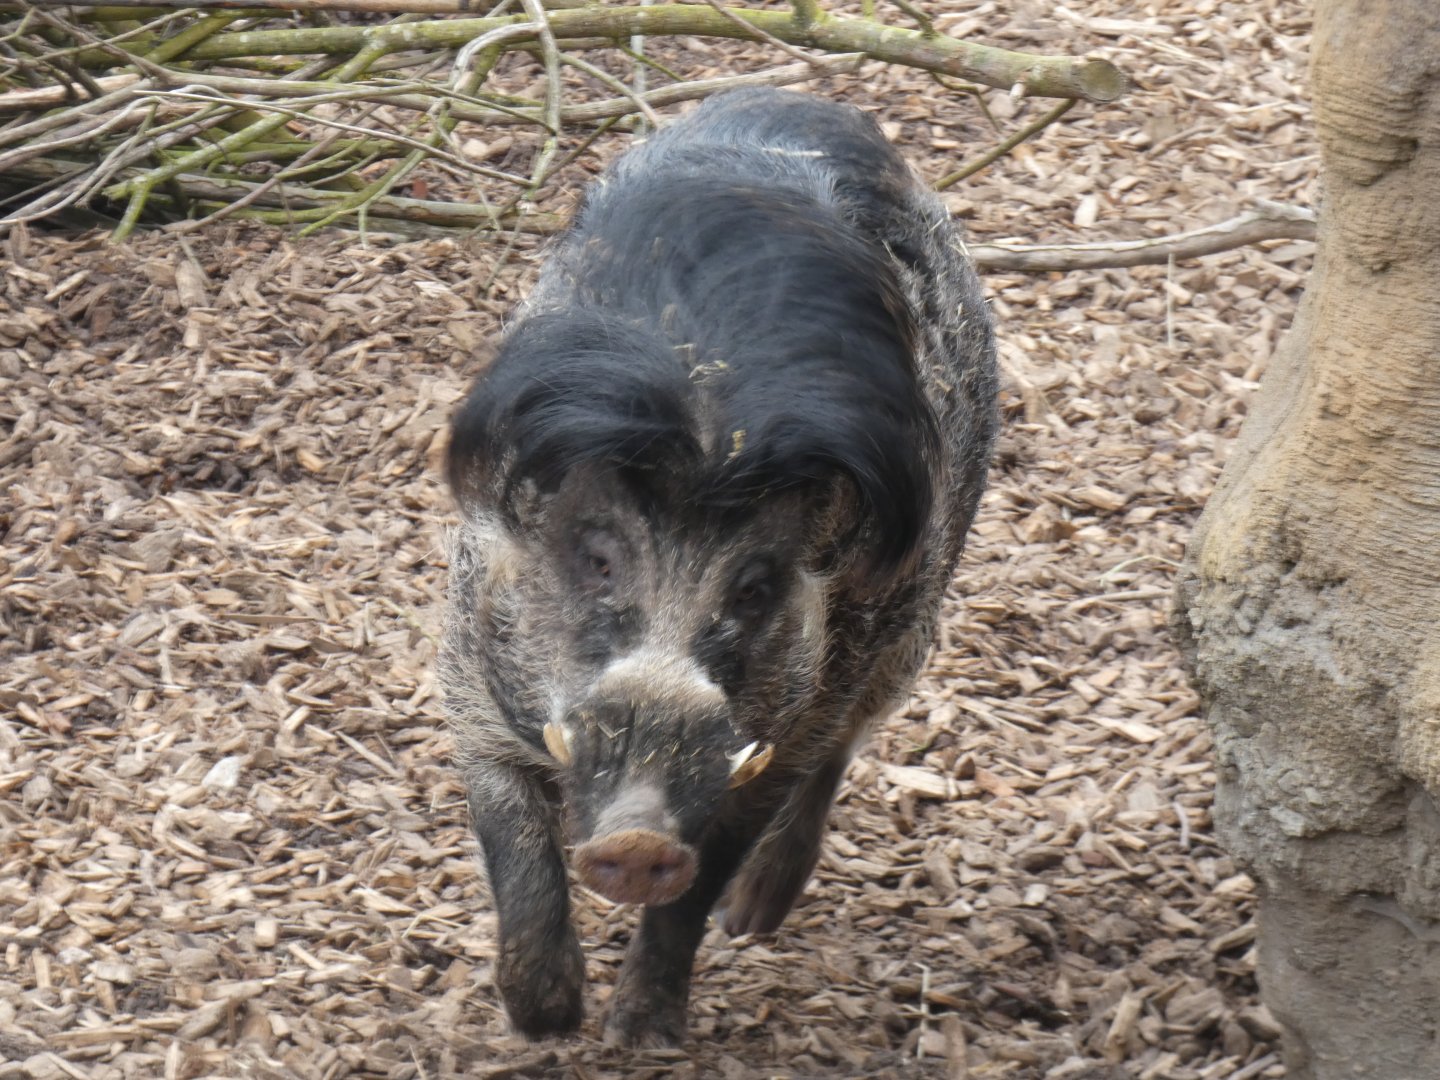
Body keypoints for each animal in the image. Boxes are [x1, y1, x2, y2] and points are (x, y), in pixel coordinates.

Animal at [441, 87, 998, 1048]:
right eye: (596, 557)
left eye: (755, 586)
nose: (635, 843)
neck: (706, 434)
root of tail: (802, 99)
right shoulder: (474, 678)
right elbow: (514, 845)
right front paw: (545, 1022)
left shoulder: (773, 740)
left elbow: (700, 883)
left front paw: (643, 1037)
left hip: (914, 618)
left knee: (846, 746)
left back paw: (756, 920)